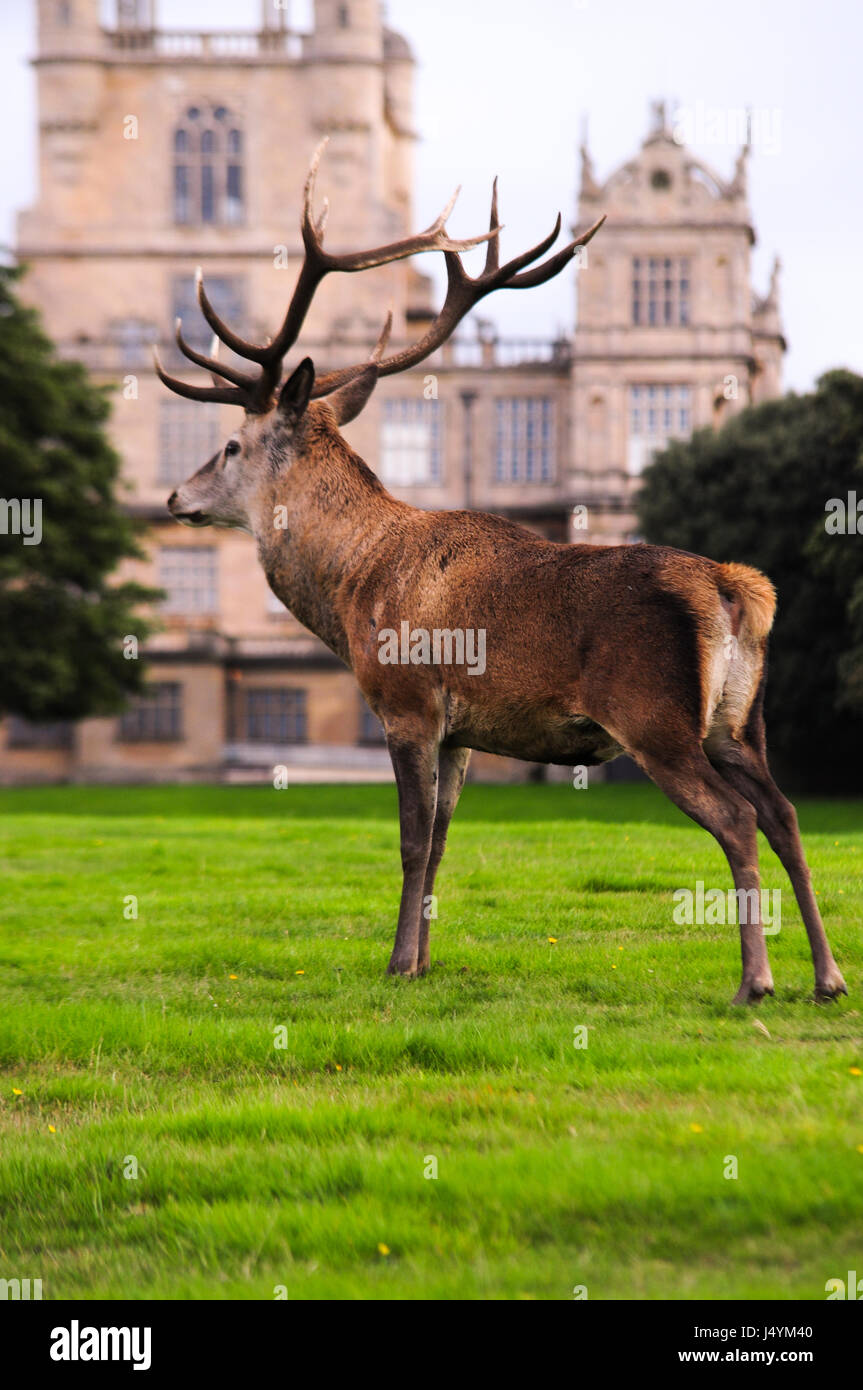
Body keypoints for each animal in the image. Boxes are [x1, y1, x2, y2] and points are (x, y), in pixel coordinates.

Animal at [158, 143, 844, 1011]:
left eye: (231, 445)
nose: (173, 497)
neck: (351, 588)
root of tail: (734, 589)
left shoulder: (406, 701)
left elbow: (410, 842)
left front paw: (394, 965)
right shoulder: (461, 731)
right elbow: (442, 844)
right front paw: (422, 962)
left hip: (654, 716)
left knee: (736, 820)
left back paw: (754, 981)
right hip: (739, 719)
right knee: (784, 814)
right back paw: (826, 977)